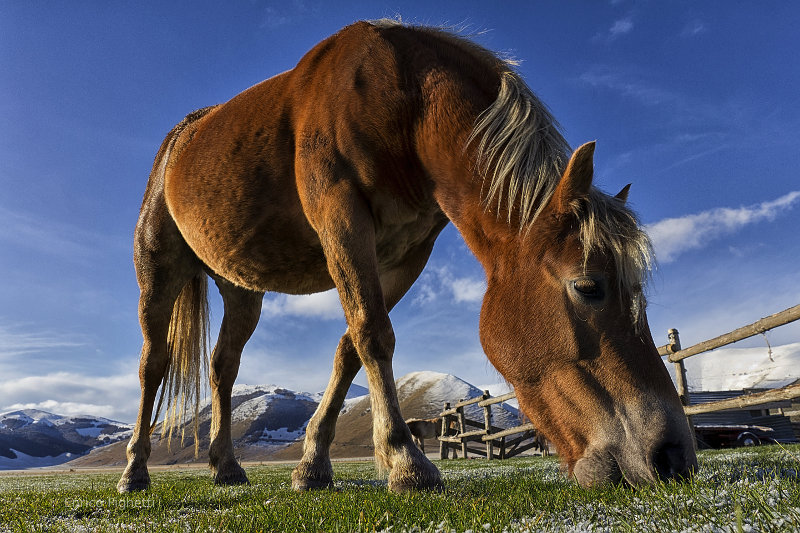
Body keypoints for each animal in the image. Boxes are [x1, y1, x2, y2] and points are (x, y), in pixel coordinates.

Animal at [117, 20, 692, 494]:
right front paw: (405, 462)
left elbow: (350, 348)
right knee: (154, 364)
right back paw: (135, 471)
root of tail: (180, 140)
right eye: (588, 286)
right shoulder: (342, 219)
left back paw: (226, 466)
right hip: (159, 273)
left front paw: (313, 465)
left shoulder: (407, 252)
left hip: (242, 288)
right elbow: (373, 333)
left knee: (223, 367)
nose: (672, 456)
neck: (405, 104)